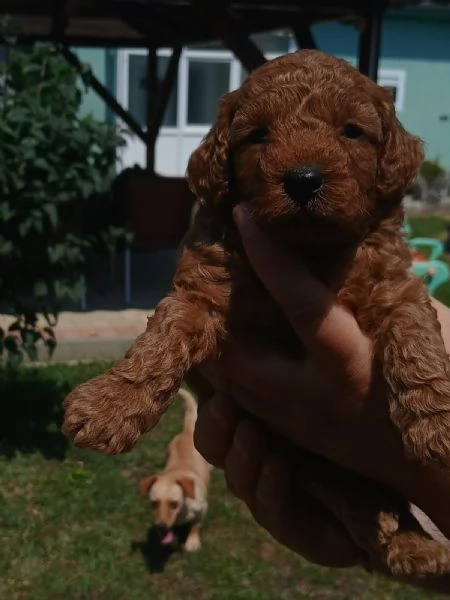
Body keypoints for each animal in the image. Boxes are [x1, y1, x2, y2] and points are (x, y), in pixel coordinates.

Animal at [139, 390, 211, 552]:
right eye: (153, 503)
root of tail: (188, 430)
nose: (161, 527)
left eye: (174, 503)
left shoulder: (203, 509)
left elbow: (196, 526)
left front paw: (192, 541)